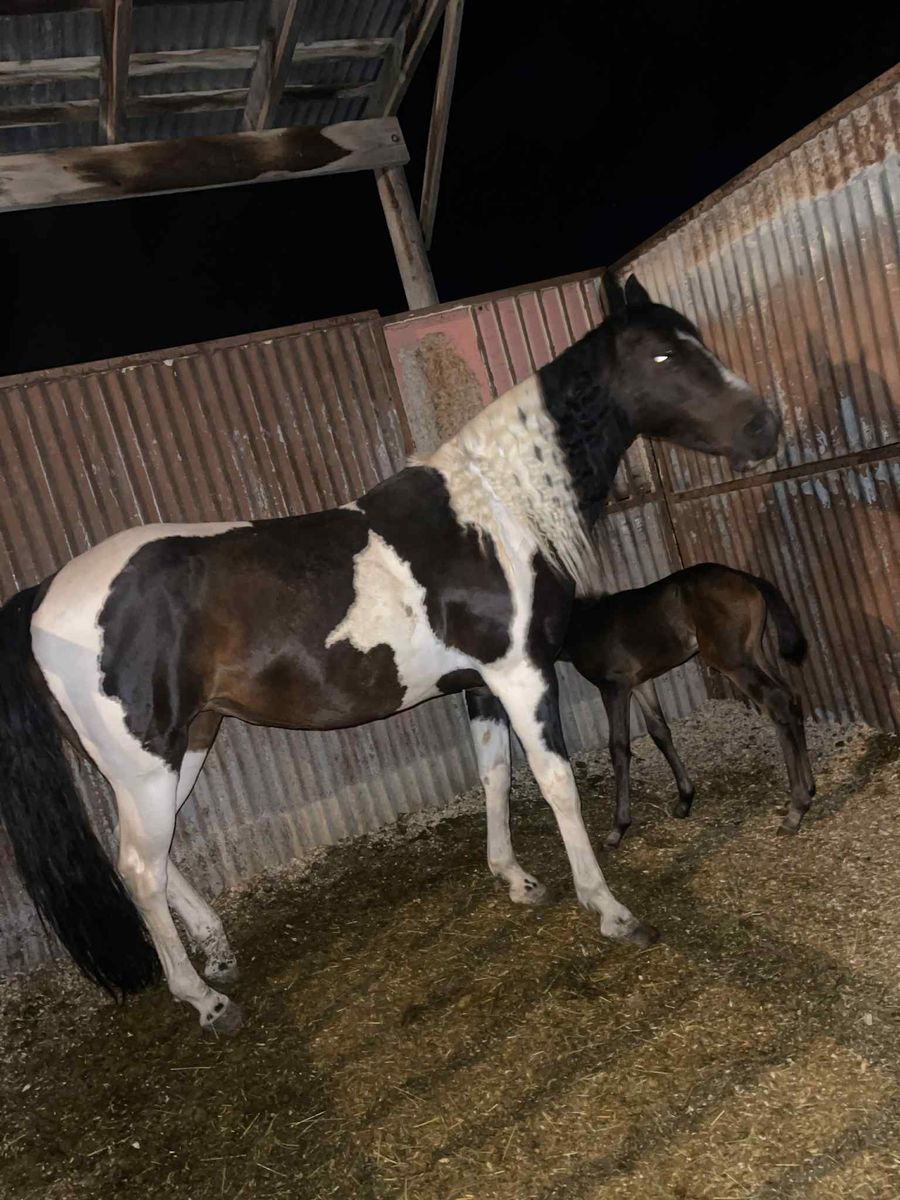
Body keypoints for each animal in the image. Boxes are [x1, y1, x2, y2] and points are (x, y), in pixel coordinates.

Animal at [465, 564, 814, 894]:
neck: (583, 623)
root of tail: (747, 577)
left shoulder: (614, 686)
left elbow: (619, 747)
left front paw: (617, 829)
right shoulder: (642, 682)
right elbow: (660, 731)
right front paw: (685, 799)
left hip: (732, 659)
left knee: (777, 703)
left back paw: (795, 810)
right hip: (755, 651)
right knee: (791, 699)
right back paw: (808, 789)